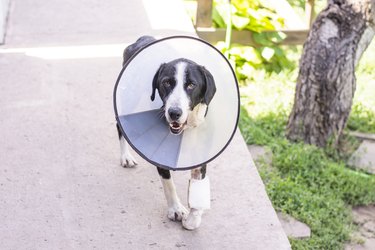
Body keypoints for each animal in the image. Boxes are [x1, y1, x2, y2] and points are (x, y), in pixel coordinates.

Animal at [117, 35, 217, 230]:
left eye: (191, 85)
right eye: (166, 83)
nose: (174, 113)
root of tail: (142, 38)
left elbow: (197, 183)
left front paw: (192, 219)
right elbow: (168, 183)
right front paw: (176, 209)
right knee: (121, 127)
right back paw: (126, 156)